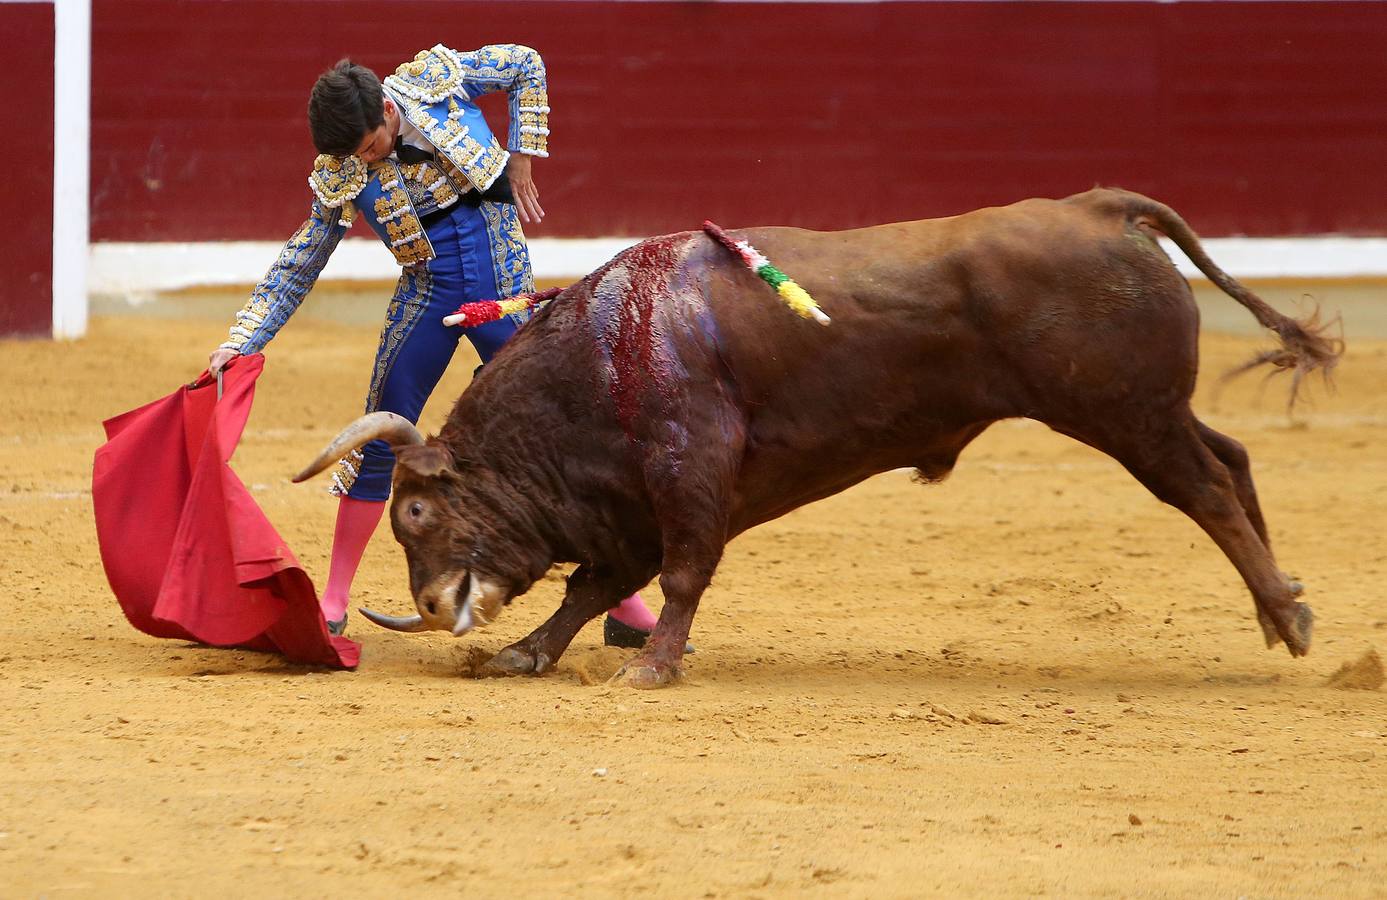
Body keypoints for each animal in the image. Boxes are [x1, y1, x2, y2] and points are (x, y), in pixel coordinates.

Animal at [295, 185, 1342, 685]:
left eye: (418, 512)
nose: (433, 607)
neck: (602, 357)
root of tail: (1099, 206)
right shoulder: (632, 505)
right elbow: (593, 585)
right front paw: (528, 655)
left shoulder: (688, 471)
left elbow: (677, 577)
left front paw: (652, 670)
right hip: (1150, 409)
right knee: (1232, 457)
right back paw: (1279, 605)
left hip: (1123, 416)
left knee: (1204, 488)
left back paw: (1286, 615)